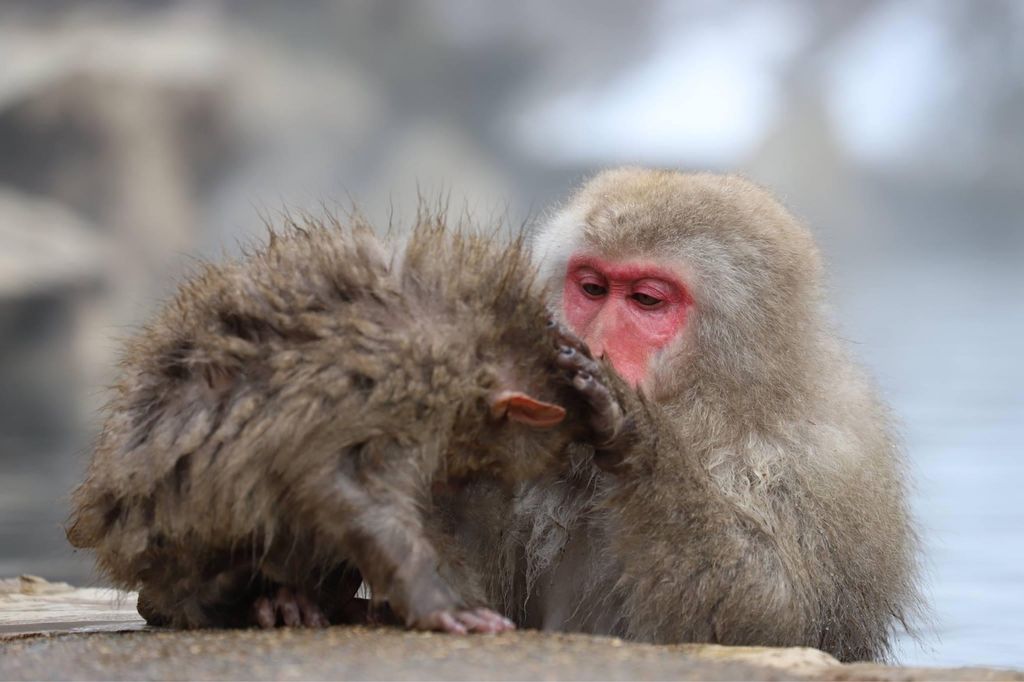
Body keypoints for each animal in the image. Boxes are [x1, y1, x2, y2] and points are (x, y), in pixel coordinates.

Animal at [464, 166, 921, 659]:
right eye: (592, 288)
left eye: (646, 299)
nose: (595, 342)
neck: (723, 405)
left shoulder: (826, 462)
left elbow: (776, 617)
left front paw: (636, 433)